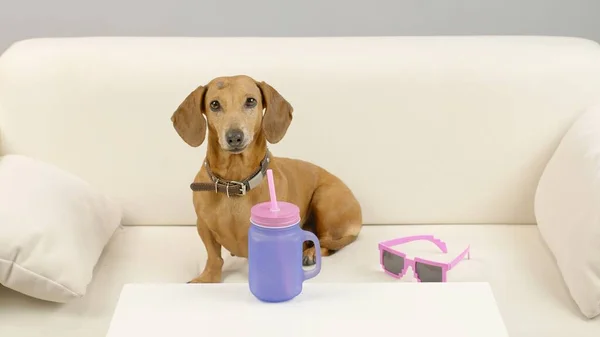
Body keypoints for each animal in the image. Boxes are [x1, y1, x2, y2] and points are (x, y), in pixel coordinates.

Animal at [171, 75, 364, 282]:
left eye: (251, 101)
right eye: (214, 104)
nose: (234, 137)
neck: (235, 182)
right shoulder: (203, 226)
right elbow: (214, 257)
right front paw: (207, 278)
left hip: (324, 199)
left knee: (325, 242)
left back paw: (309, 253)